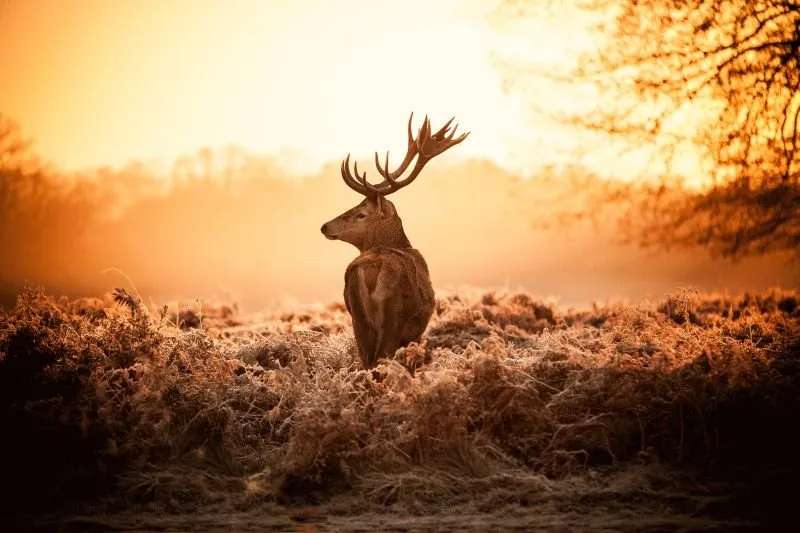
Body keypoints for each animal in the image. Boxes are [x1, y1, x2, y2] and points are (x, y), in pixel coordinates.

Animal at [320, 113, 469, 370]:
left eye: (361, 213)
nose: (325, 226)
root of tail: (369, 271)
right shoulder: (415, 331)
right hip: (394, 317)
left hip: (358, 319)